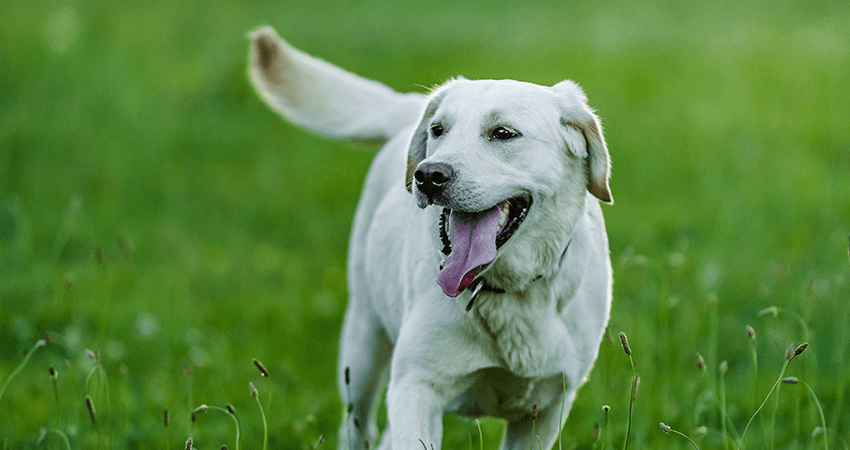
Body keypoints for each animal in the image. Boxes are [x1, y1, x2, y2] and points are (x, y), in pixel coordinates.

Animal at [248, 27, 612, 450]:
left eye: (503, 133)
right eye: (439, 130)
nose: (428, 175)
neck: (504, 291)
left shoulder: (546, 409)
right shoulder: (416, 387)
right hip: (363, 343)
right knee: (359, 425)